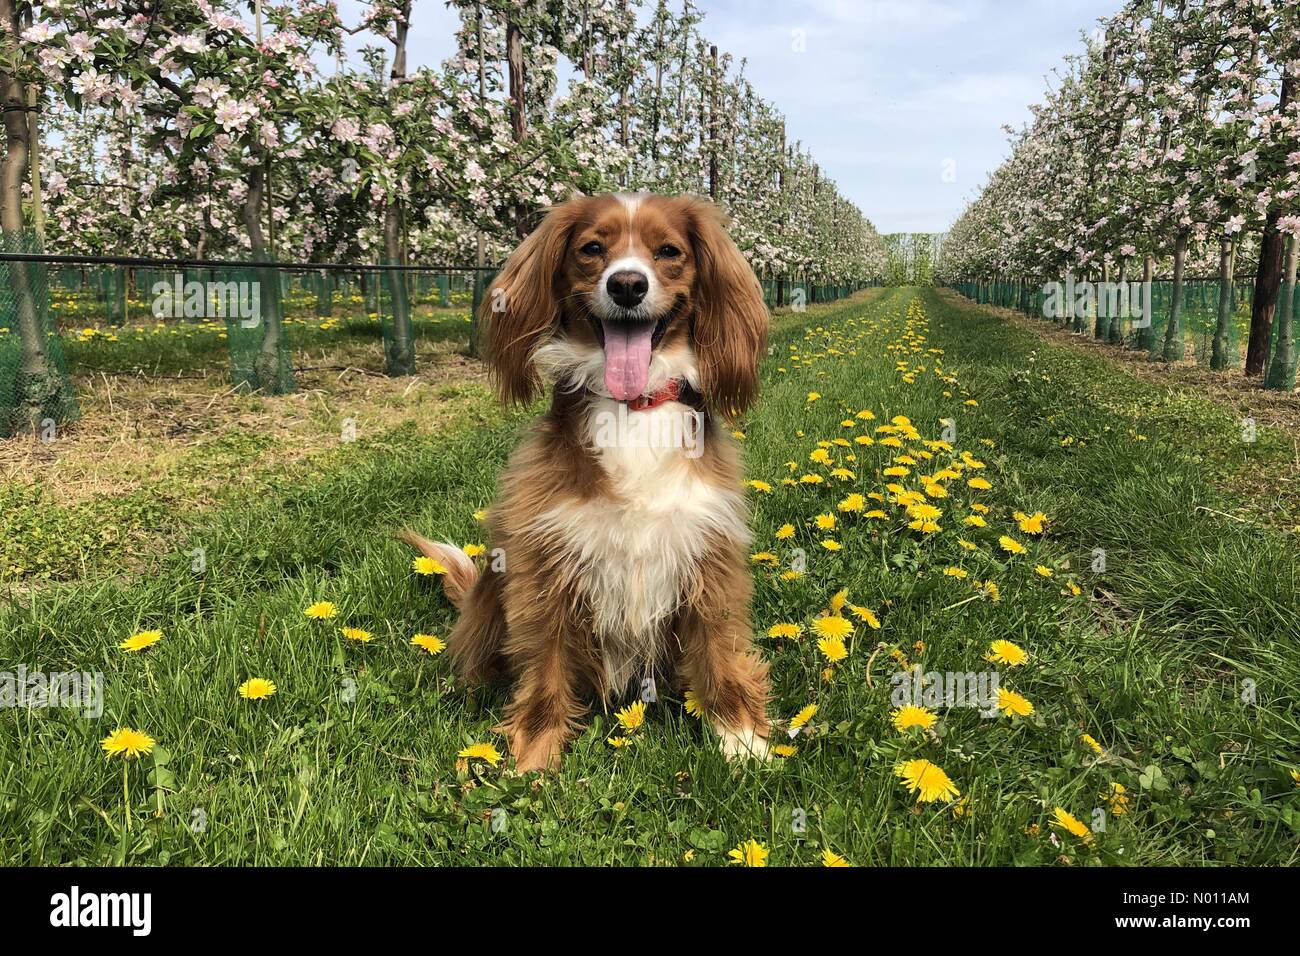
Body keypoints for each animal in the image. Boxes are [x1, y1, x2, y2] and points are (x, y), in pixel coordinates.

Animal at [403, 192, 769, 770]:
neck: (631, 408)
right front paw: (532, 758)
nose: (627, 285)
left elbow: (719, 652)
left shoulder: (708, 553)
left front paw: (742, 738)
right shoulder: (544, 562)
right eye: (592, 249)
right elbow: (545, 669)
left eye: (669, 251)